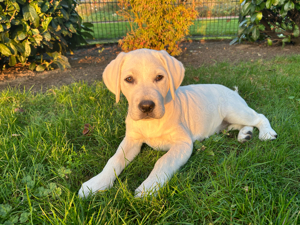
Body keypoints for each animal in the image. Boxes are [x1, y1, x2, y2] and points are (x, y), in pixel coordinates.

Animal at [78, 48, 278, 197]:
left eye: (159, 77)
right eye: (129, 79)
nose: (146, 106)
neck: (151, 123)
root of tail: (233, 92)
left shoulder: (183, 144)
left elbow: (163, 162)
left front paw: (148, 187)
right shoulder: (131, 140)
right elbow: (114, 160)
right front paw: (95, 183)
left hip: (233, 110)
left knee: (259, 116)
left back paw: (266, 133)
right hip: (229, 119)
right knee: (241, 124)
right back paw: (245, 134)